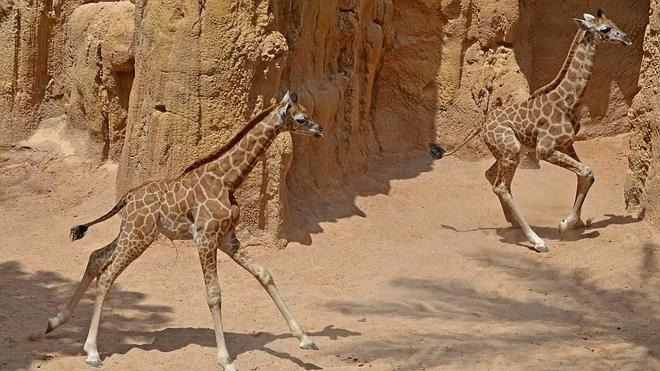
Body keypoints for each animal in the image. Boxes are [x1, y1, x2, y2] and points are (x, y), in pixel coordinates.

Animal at [45, 91, 324, 370]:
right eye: (301, 118)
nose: (320, 129)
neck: (227, 180)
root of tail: (129, 196)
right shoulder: (205, 238)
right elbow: (214, 294)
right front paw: (225, 359)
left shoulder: (227, 239)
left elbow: (264, 274)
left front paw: (305, 339)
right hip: (139, 235)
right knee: (107, 275)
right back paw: (92, 351)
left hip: (132, 231)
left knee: (96, 258)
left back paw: (56, 321)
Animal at [430, 9, 632, 253]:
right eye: (605, 29)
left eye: (613, 22)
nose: (627, 38)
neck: (567, 101)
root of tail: (481, 125)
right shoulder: (544, 150)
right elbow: (586, 171)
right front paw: (565, 225)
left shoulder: (567, 144)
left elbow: (586, 175)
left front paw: (573, 222)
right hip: (511, 150)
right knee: (501, 187)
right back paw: (537, 241)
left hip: (509, 151)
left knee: (491, 176)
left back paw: (512, 221)